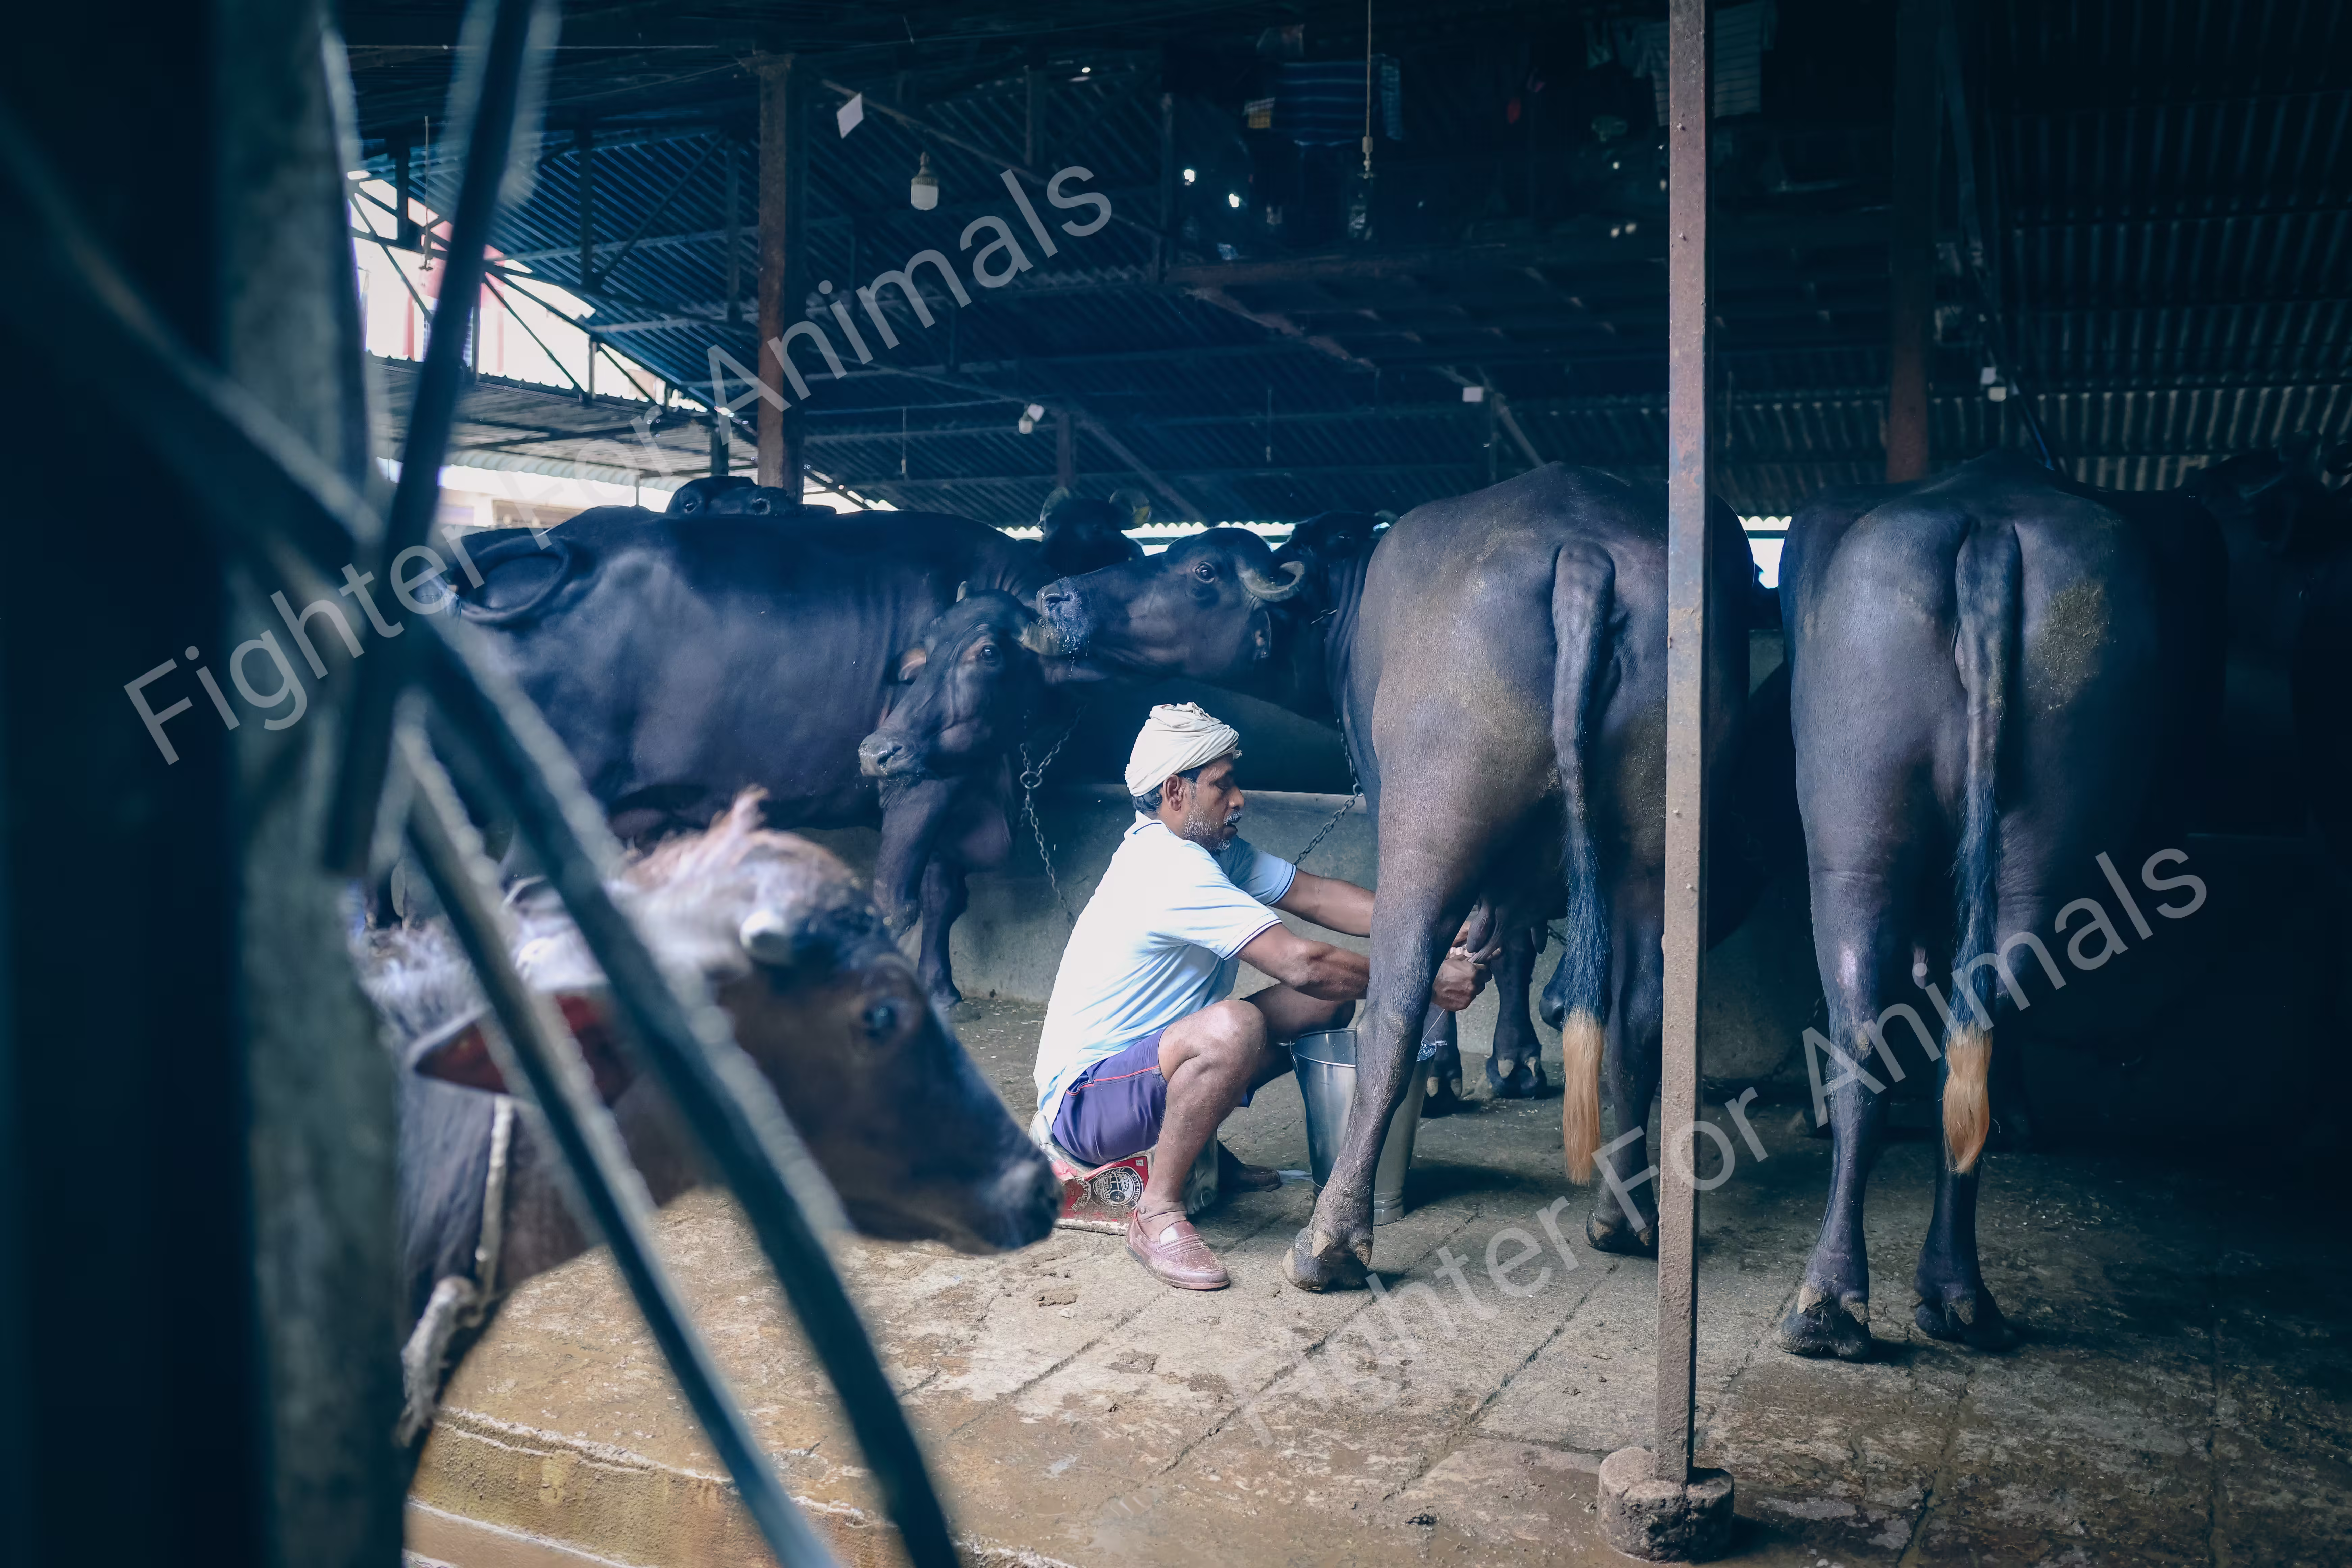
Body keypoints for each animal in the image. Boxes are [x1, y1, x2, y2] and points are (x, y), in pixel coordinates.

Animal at [447, 504, 1062, 1014]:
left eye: (987, 652)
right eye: (931, 656)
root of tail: (568, 537)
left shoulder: (959, 783)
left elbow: (943, 895)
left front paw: (942, 988)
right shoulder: (926, 784)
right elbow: (899, 900)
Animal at [1030, 464, 1761, 1290]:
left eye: (1205, 571)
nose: (1057, 597)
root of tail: (1583, 549)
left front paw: (1448, 1073)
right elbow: (1513, 940)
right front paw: (1511, 1060)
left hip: (1426, 829)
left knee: (1394, 1004)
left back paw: (1332, 1241)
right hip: (1653, 856)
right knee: (1638, 1013)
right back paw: (1624, 1214)